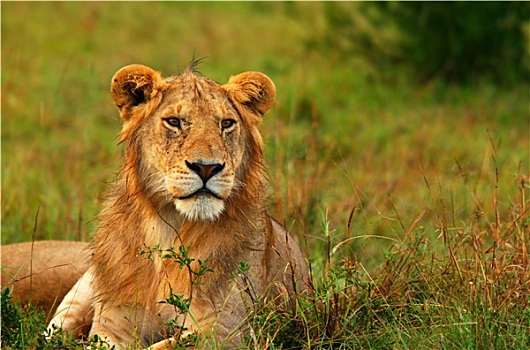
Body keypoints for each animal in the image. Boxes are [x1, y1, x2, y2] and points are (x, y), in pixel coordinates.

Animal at [48, 61, 310, 348]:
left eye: (227, 124)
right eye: (174, 122)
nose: (206, 168)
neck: (167, 229)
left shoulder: (227, 331)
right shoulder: (110, 326)